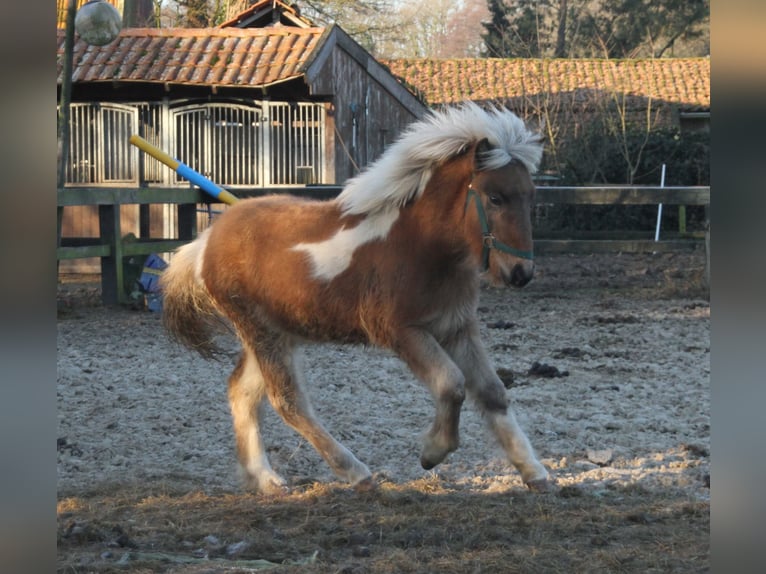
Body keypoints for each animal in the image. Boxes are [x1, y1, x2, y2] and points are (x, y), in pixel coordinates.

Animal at [160, 102, 553, 494]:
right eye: (495, 197)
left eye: (531, 195)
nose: (520, 273)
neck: (422, 246)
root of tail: (204, 242)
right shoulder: (401, 331)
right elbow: (451, 384)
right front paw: (432, 452)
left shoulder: (457, 328)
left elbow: (492, 392)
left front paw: (534, 472)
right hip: (262, 332)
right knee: (288, 402)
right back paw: (354, 471)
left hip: (279, 333)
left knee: (241, 391)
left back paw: (264, 478)